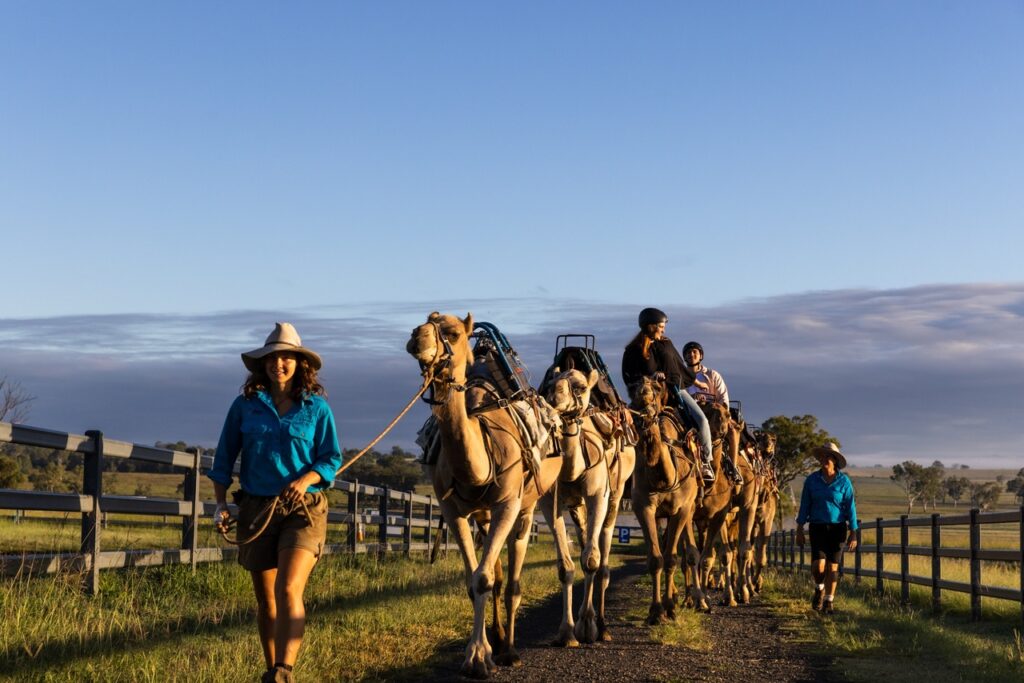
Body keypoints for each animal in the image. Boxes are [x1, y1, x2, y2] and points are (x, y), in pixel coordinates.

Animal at [405, 313, 565, 679]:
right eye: (422, 323)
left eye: (452, 333)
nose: (417, 337)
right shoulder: (452, 510)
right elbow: (474, 579)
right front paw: (479, 651)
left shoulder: (507, 503)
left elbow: (483, 578)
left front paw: (480, 657)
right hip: (484, 516)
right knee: (499, 575)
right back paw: (500, 636)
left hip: (526, 506)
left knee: (513, 579)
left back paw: (510, 650)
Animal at [540, 368, 634, 647]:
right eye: (549, 384)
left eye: (580, 387)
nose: (554, 397)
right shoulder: (550, 502)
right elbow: (565, 567)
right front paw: (566, 632)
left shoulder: (597, 495)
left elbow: (591, 560)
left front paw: (587, 626)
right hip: (577, 507)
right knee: (584, 541)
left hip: (615, 495)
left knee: (602, 554)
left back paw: (602, 627)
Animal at [626, 376, 708, 622]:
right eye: (633, 392)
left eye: (654, 390)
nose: (643, 399)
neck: (665, 476)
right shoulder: (644, 508)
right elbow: (656, 558)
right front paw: (656, 611)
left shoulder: (680, 510)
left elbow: (672, 558)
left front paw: (670, 607)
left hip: (690, 508)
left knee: (691, 551)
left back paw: (698, 600)